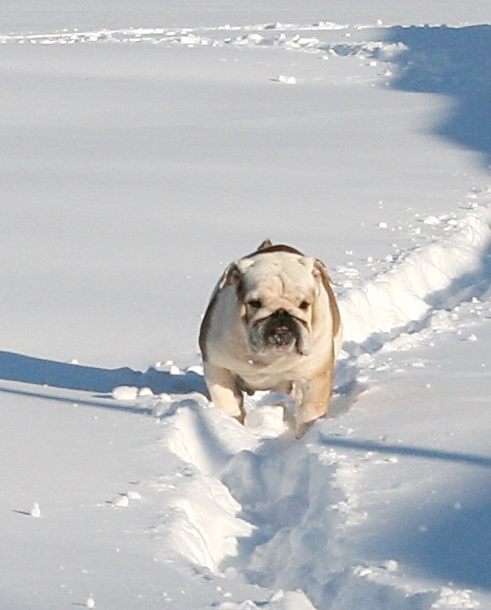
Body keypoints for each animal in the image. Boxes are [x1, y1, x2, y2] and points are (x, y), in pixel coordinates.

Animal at [199, 240, 342, 436]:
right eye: (255, 303)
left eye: (304, 304)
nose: (281, 313)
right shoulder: (218, 368)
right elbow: (229, 405)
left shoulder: (313, 375)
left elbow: (310, 412)